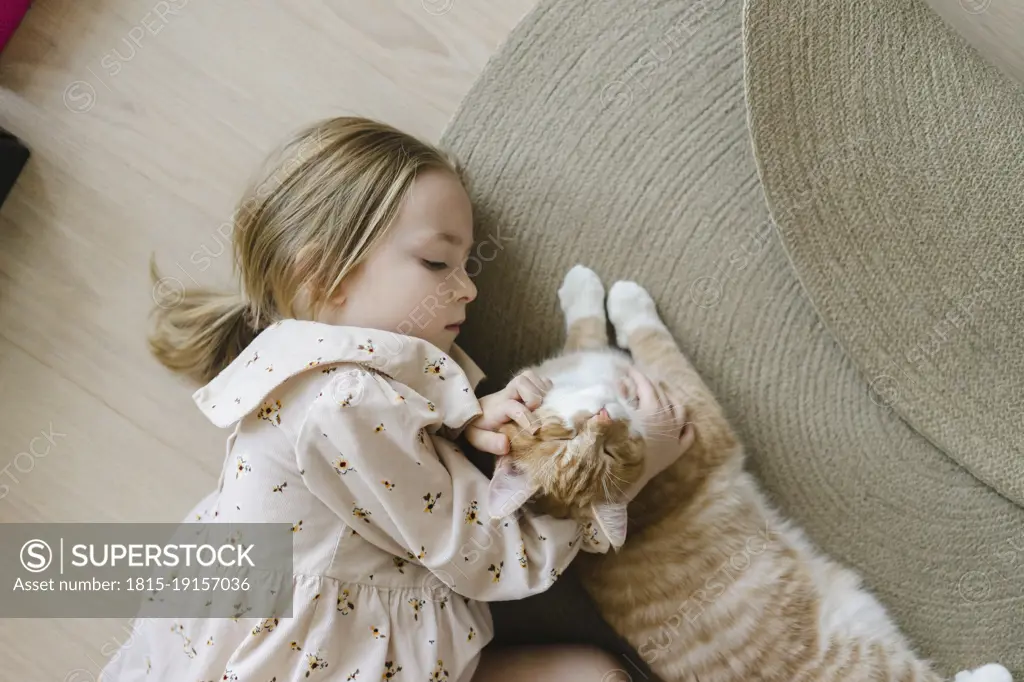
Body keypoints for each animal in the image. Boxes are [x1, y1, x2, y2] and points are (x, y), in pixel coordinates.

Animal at [485, 264, 1007, 679]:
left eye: (604, 452)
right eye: (574, 440)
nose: (604, 414)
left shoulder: (597, 366)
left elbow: (587, 334)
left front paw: (584, 292)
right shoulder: (698, 414)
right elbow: (650, 339)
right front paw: (621, 298)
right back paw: (990, 670)